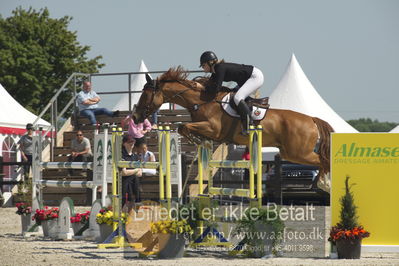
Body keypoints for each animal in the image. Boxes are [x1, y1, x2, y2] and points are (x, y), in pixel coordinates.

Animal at [134, 67, 334, 191]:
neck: (202, 101)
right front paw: (200, 141)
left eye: (146, 94)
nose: (135, 117)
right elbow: (185, 127)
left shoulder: (213, 129)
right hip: (290, 152)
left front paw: (196, 140)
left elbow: (184, 126)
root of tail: (311, 119)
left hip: (298, 152)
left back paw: (324, 184)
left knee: (323, 160)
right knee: (322, 160)